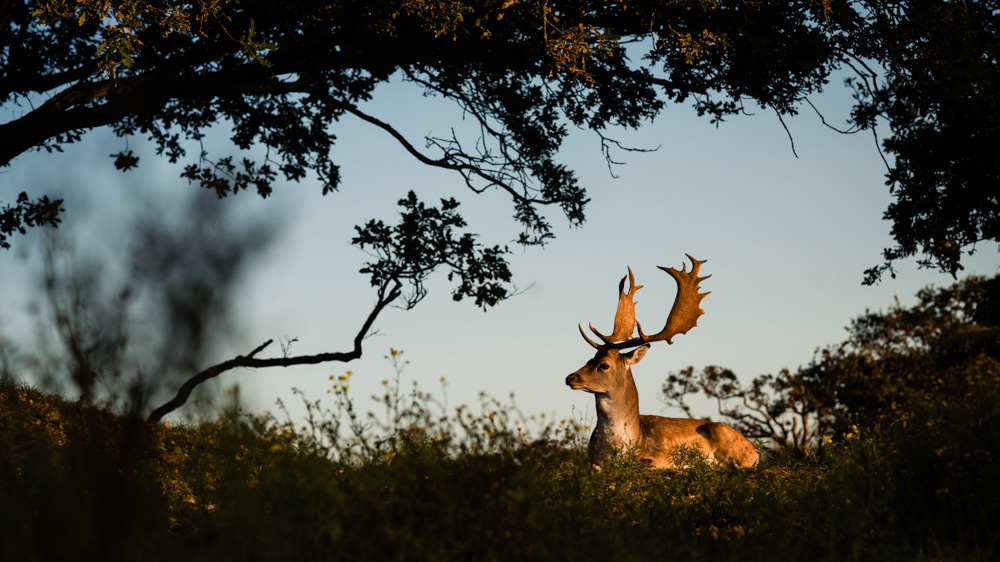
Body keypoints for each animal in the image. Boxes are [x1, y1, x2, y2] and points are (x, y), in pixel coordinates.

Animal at [564, 255, 756, 468]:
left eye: (604, 365)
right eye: (589, 359)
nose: (570, 378)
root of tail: (756, 450)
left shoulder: (658, 457)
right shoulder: (592, 460)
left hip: (734, 448)